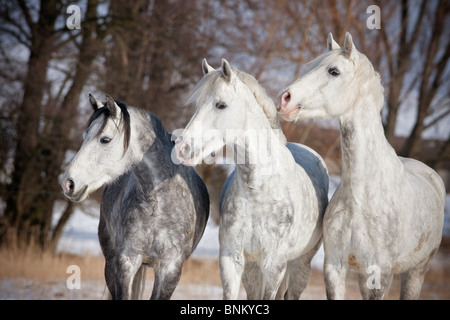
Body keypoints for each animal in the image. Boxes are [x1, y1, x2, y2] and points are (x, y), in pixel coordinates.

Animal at [60, 94, 210, 298]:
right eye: (84, 137)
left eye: (105, 139)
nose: (68, 183)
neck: (156, 204)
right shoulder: (126, 261)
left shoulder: (170, 270)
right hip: (111, 262)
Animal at [175, 58, 326, 298]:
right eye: (197, 104)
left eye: (221, 105)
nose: (182, 149)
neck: (258, 192)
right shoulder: (232, 259)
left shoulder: (274, 265)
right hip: (253, 269)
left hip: (300, 264)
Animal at [276, 31, 444, 298]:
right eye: (310, 66)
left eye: (334, 71)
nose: (285, 99)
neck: (362, 197)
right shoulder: (335, 266)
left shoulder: (381, 274)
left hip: (416, 271)